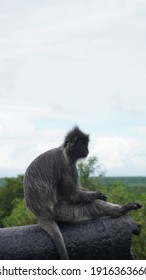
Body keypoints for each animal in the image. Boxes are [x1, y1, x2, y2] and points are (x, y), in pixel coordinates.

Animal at [23, 126, 142, 260]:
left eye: (86, 144)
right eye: (81, 144)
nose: (87, 149)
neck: (65, 152)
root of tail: (40, 214)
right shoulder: (67, 165)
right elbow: (71, 195)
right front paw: (95, 195)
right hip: (61, 211)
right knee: (91, 204)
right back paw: (122, 209)